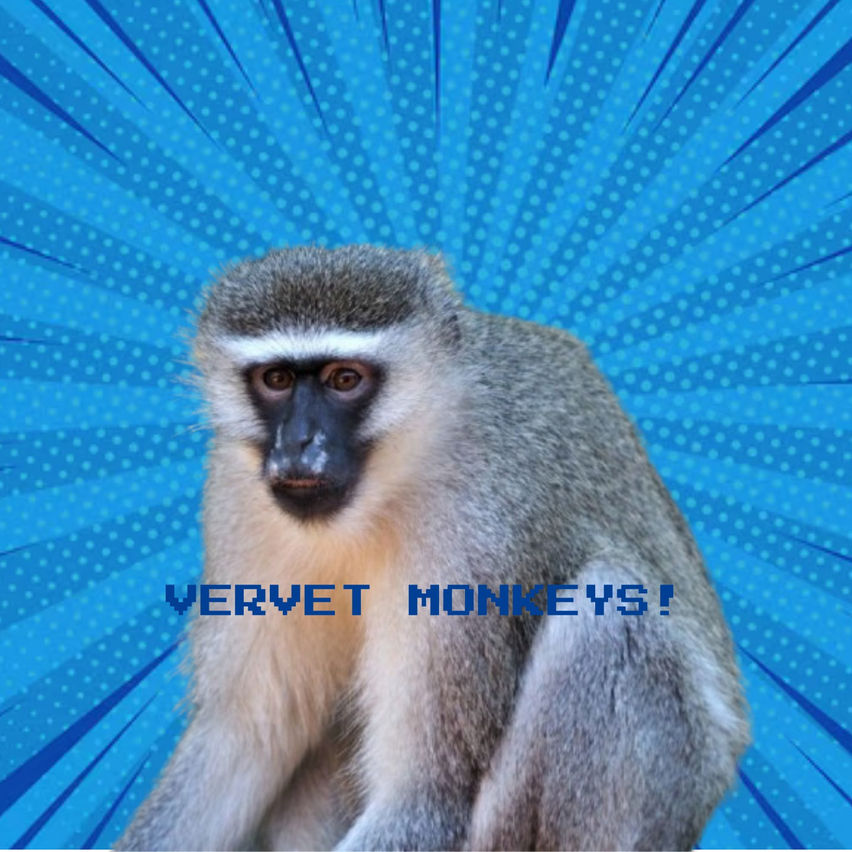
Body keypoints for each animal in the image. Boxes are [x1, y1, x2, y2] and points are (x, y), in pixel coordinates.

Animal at [116, 245, 750, 852]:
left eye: (344, 380)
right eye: (276, 380)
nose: (298, 444)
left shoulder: (474, 531)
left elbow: (423, 800)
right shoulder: (237, 495)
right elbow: (246, 738)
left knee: (607, 608)